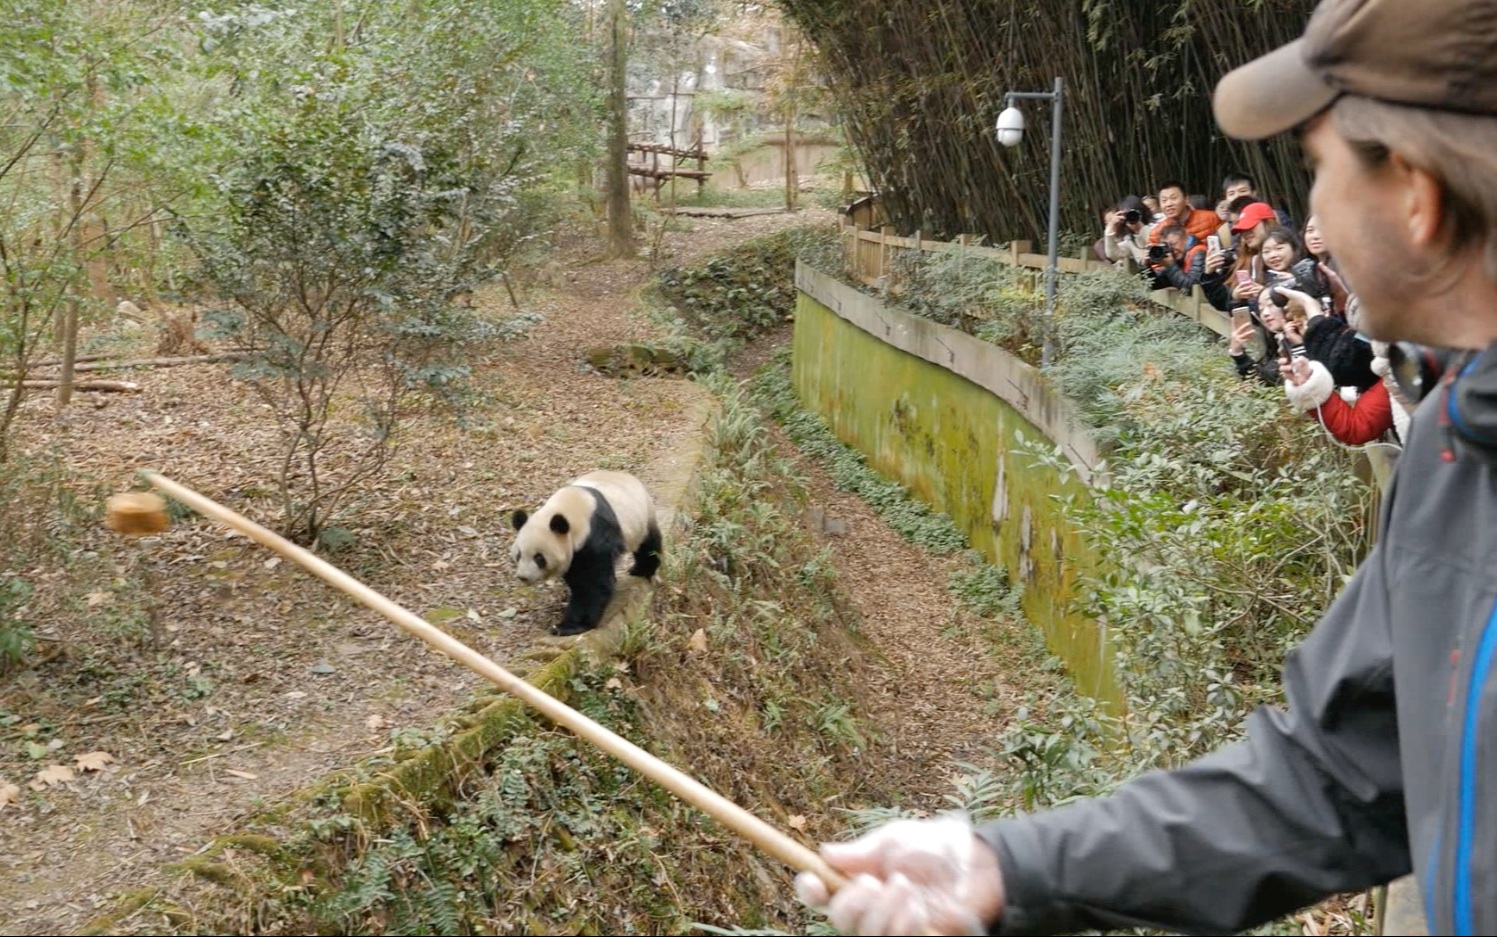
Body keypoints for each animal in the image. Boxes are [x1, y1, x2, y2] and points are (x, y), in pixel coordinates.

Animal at [508, 467, 661, 634]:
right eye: (518, 555)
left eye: (539, 558)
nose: (523, 577)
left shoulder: (595, 536)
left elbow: (591, 585)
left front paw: (569, 626)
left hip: (641, 515)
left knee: (648, 545)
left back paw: (641, 570)